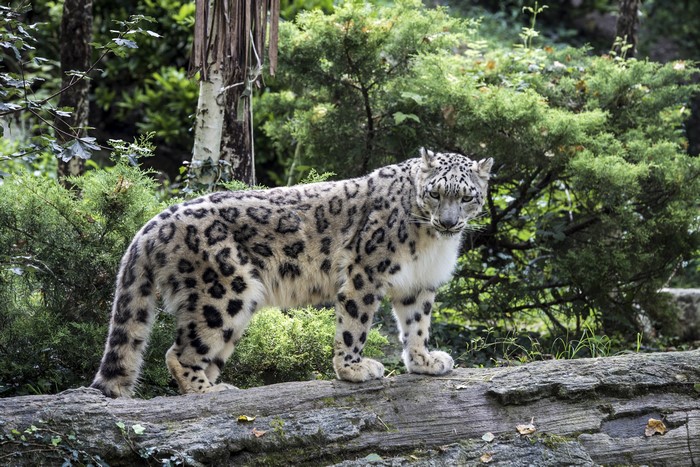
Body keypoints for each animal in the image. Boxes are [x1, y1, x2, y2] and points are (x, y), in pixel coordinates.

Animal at [90, 148, 493, 397]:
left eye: (466, 197)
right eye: (436, 193)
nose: (448, 222)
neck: (431, 243)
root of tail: (154, 221)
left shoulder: (419, 283)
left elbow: (416, 324)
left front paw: (425, 361)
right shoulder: (365, 273)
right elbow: (355, 324)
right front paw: (353, 369)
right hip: (223, 292)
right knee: (179, 352)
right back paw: (208, 391)